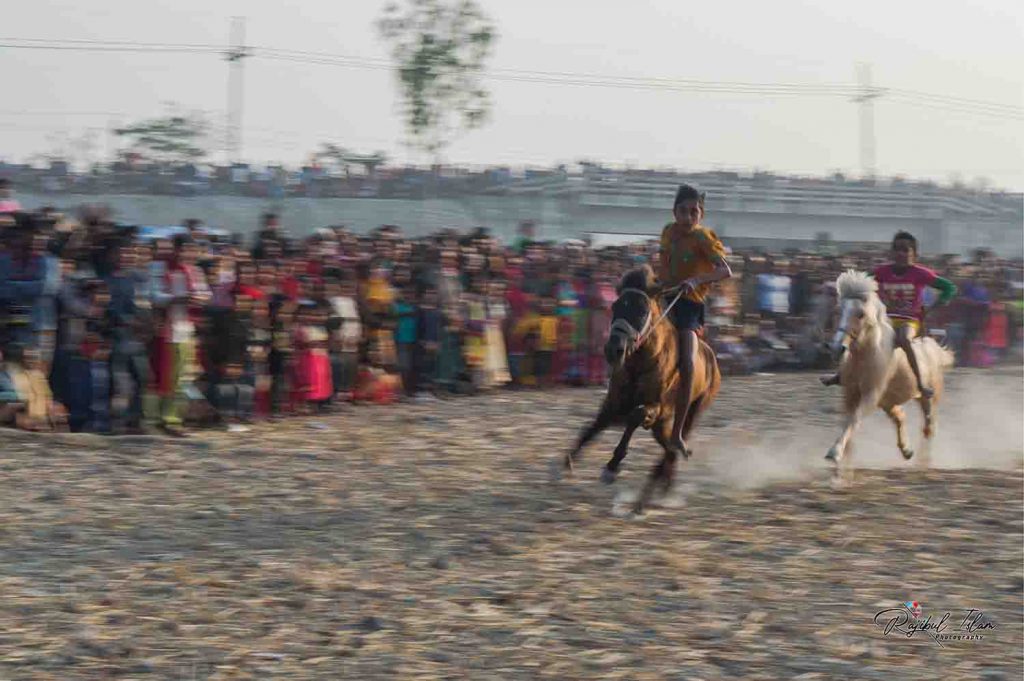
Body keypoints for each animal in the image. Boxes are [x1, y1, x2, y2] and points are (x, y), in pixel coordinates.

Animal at [569, 266, 720, 509]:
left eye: (642, 311)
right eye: (615, 306)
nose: (614, 349)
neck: (641, 361)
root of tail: (712, 361)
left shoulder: (655, 406)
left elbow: (635, 416)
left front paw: (611, 467)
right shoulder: (615, 401)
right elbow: (594, 425)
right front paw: (564, 464)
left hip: (692, 411)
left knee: (673, 445)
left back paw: (646, 497)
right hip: (662, 425)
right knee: (668, 448)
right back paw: (664, 488)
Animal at [819, 268, 954, 471]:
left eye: (860, 314)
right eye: (840, 310)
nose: (836, 348)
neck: (864, 356)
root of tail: (932, 348)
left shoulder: (871, 395)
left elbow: (854, 419)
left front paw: (834, 453)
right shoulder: (850, 394)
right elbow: (847, 421)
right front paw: (844, 456)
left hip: (928, 399)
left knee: (928, 428)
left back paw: (923, 460)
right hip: (888, 401)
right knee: (901, 417)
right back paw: (907, 451)